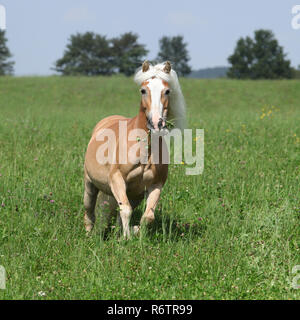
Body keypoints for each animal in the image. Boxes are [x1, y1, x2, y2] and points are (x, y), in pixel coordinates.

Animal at [82, 60, 185, 238]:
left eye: (167, 91)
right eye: (143, 90)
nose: (157, 123)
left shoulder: (155, 185)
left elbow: (147, 216)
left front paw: (135, 234)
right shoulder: (116, 179)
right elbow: (126, 210)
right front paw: (126, 238)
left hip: (134, 195)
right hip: (90, 184)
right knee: (89, 210)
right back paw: (89, 233)